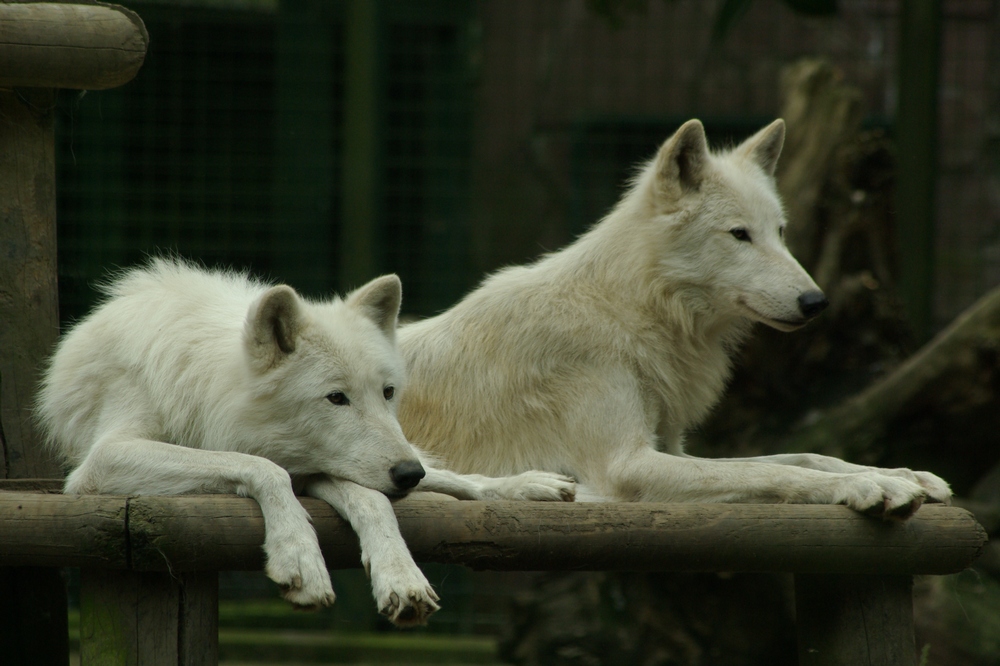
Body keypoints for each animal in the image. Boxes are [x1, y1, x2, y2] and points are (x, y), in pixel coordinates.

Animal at [39, 258, 576, 624]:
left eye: (387, 392)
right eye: (336, 398)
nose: (408, 474)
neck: (207, 386)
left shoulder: (321, 467)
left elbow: (373, 502)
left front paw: (401, 577)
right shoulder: (104, 459)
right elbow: (264, 468)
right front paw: (298, 556)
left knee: (450, 477)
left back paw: (530, 487)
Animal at [394, 118, 948, 512]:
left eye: (780, 232)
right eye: (739, 234)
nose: (816, 302)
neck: (628, 312)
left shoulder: (674, 449)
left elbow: (802, 457)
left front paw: (900, 474)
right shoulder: (629, 463)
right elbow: (772, 472)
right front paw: (868, 485)